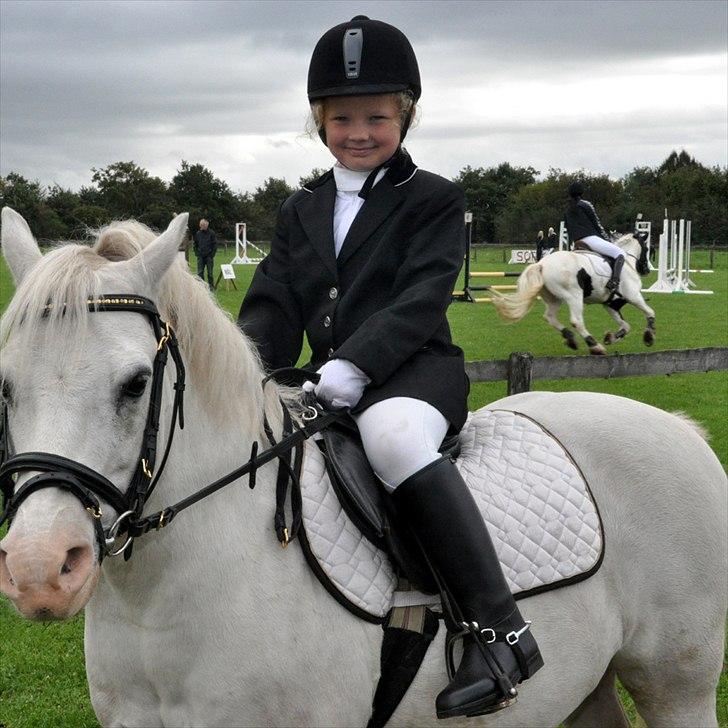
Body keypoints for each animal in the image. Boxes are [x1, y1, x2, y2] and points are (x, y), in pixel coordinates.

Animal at [492, 234, 655, 355]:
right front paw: (649, 336)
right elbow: (650, 312)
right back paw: (594, 346)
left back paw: (570, 338)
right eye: (647, 248)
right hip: (574, 296)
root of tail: (541, 264)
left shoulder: (611, 305)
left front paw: (611, 337)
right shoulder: (634, 296)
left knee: (550, 317)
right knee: (576, 321)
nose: (646, 270)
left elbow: (626, 326)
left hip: (554, 299)